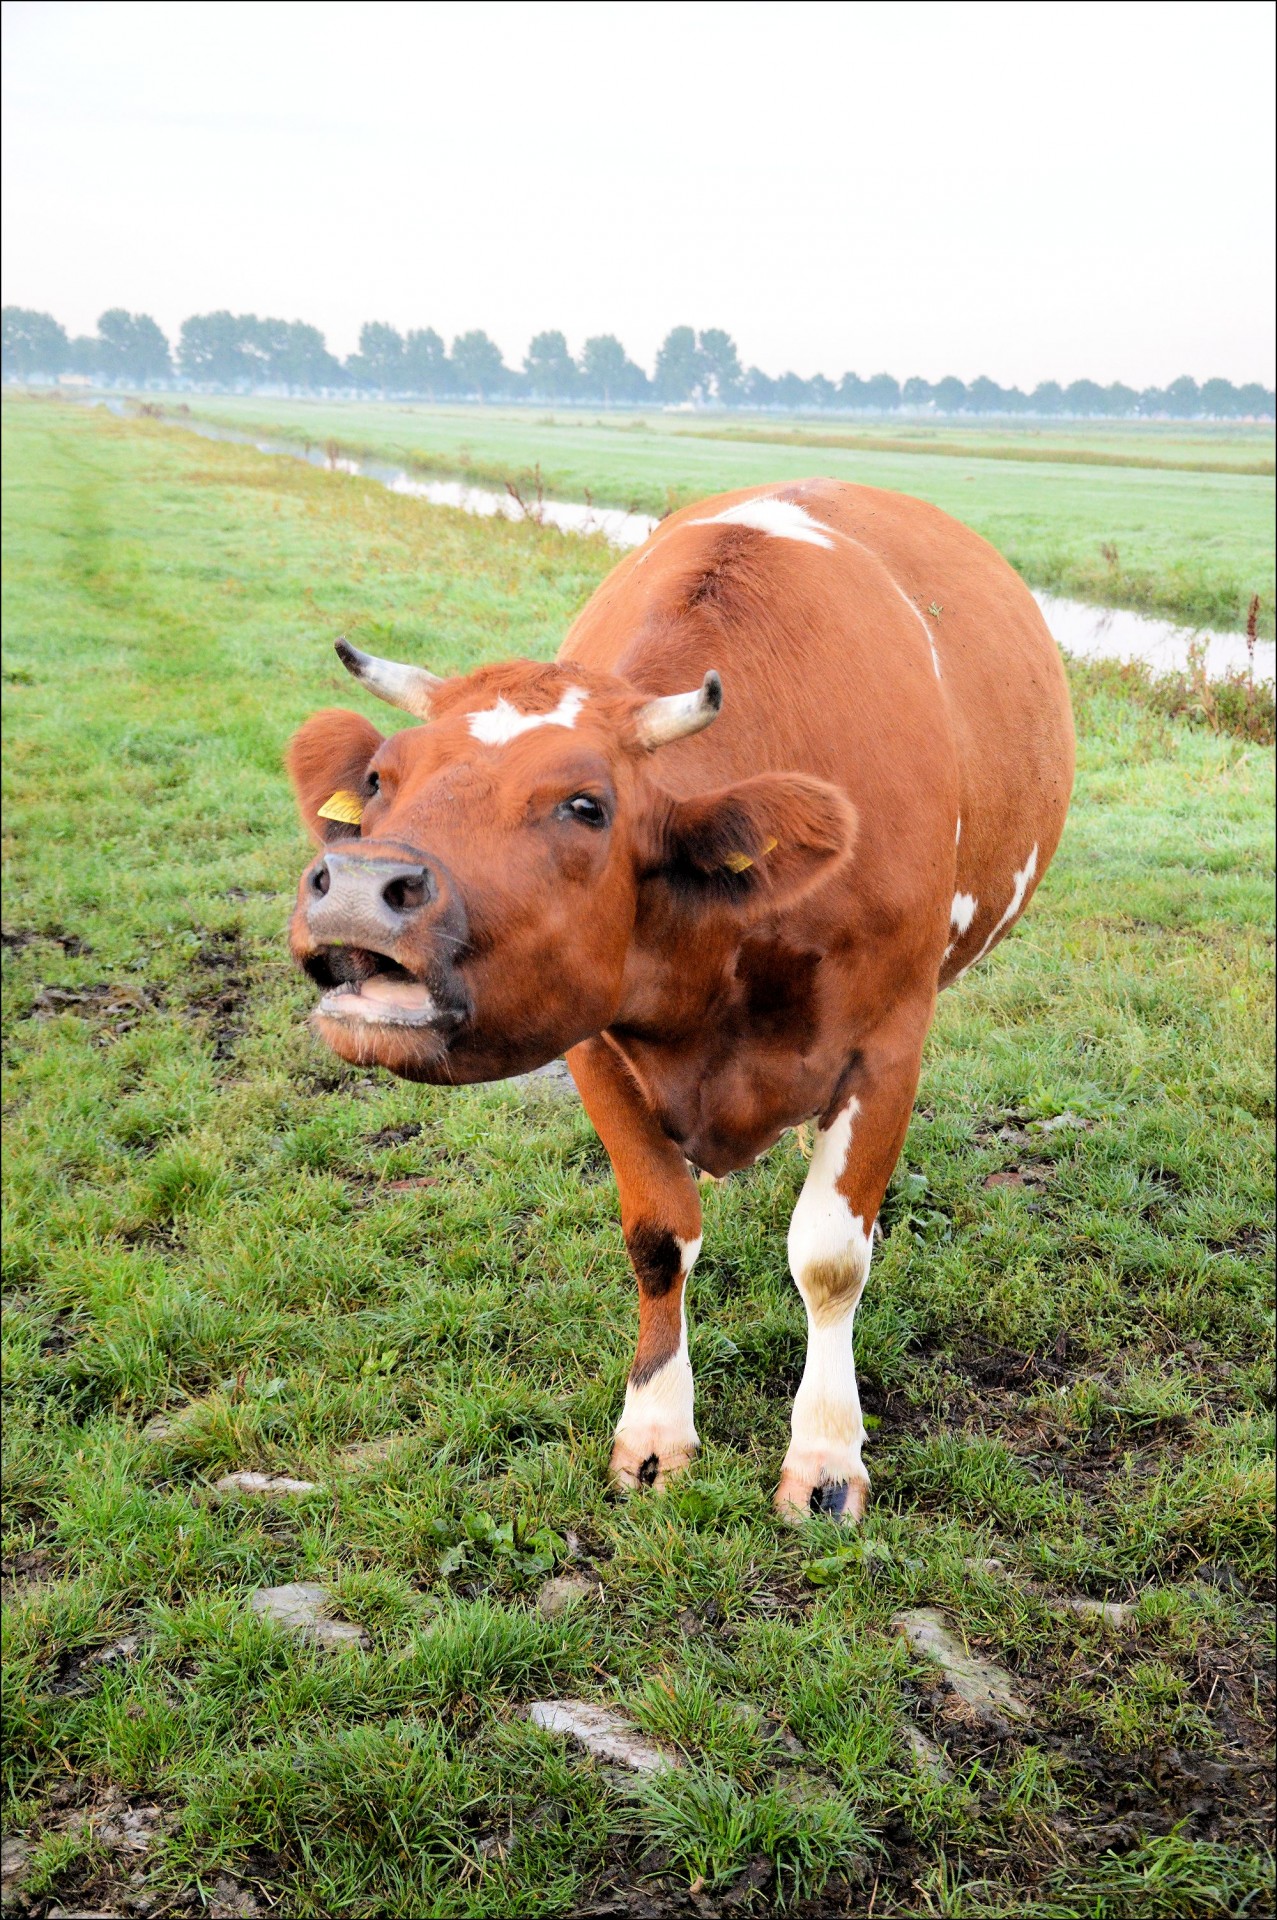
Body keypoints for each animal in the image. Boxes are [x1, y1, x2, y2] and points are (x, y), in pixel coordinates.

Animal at [288, 476, 1075, 1512]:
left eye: (586, 805)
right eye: (380, 778)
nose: (358, 886)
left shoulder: (889, 1042)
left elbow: (830, 1257)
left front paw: (825, 1460)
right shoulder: (593, 1043)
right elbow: (659, 1237)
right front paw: (656, 1433)